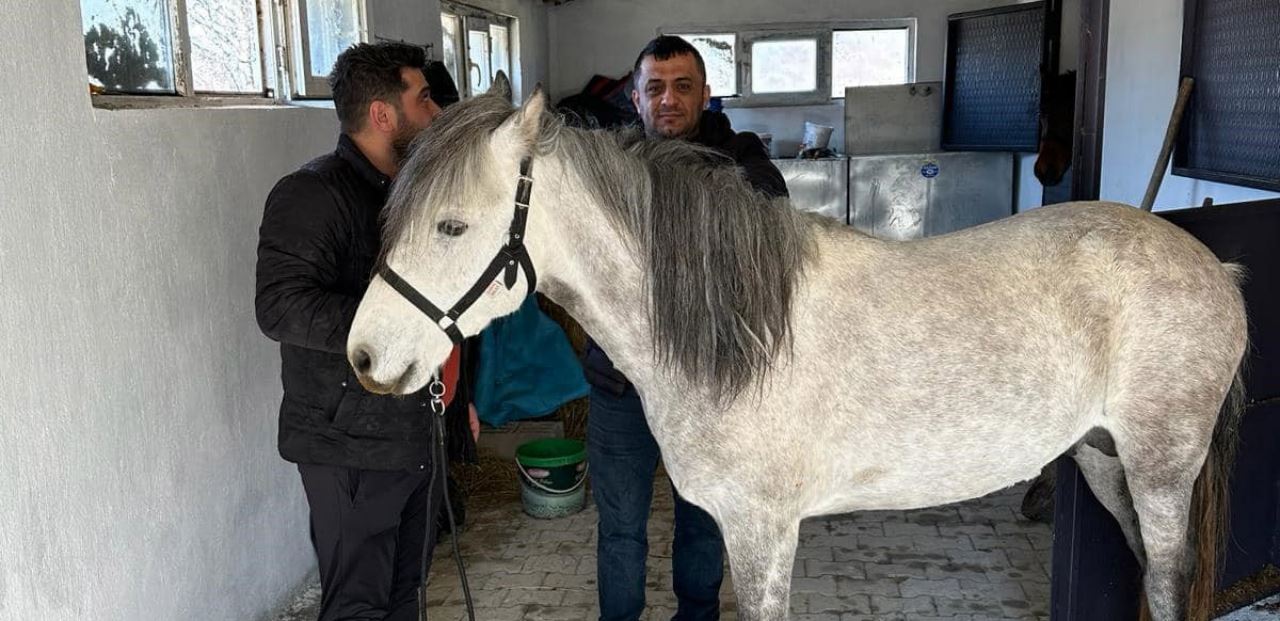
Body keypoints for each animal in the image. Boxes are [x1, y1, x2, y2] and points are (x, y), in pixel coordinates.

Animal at [345, 80, 1244, 617]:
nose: (364, 359)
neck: (735, 332)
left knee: (1167, 575)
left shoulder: (763, 528)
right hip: (1102, 455)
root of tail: (1216, 266)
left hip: (1161, 466)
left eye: (451, 225)